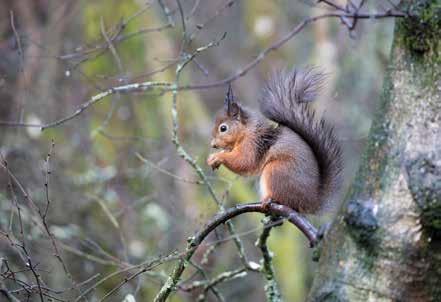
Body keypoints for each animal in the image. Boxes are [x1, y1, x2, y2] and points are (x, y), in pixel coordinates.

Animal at [207, 68, 344, 215]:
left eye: (223, 128)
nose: (213, 145)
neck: (246, 131)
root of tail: (311, 201)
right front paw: (213, 158)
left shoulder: (252, 144)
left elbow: (244, 162)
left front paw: (217, 157)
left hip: (276, 171)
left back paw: (268, 200)